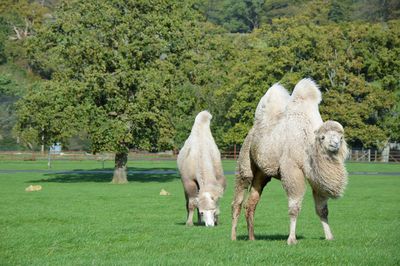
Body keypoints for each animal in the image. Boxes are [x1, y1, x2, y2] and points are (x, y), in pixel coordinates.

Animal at [230, 78, 348, 243]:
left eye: (341, 137)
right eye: (323, 137)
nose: (335, 144)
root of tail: (253, 130)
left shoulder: (316, 179)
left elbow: (322, 209)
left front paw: (329, 237)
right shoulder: (292, 170)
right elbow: (294, 207)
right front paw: (291, 239)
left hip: (262, 174)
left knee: (251, 203)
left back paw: (252, 238)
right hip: (245, 159)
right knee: (238, 198)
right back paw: (233, 237)